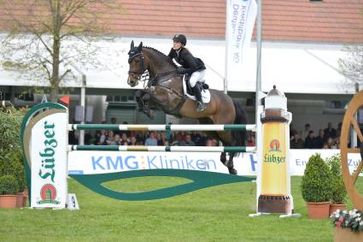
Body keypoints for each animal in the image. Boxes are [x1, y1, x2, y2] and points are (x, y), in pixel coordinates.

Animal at [126, 41, 249, 174]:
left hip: (224, 127)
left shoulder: (169, 101)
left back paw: (231, 167)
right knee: (224, 142)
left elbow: (148, 94)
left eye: (137, 60)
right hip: (210, 127)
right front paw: (145, 109)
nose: (131, 82)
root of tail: (230, 100)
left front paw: (147, 110)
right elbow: (140, 93)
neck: (166, 77)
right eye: (129, 60)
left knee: (232, 142)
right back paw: (225, 162)